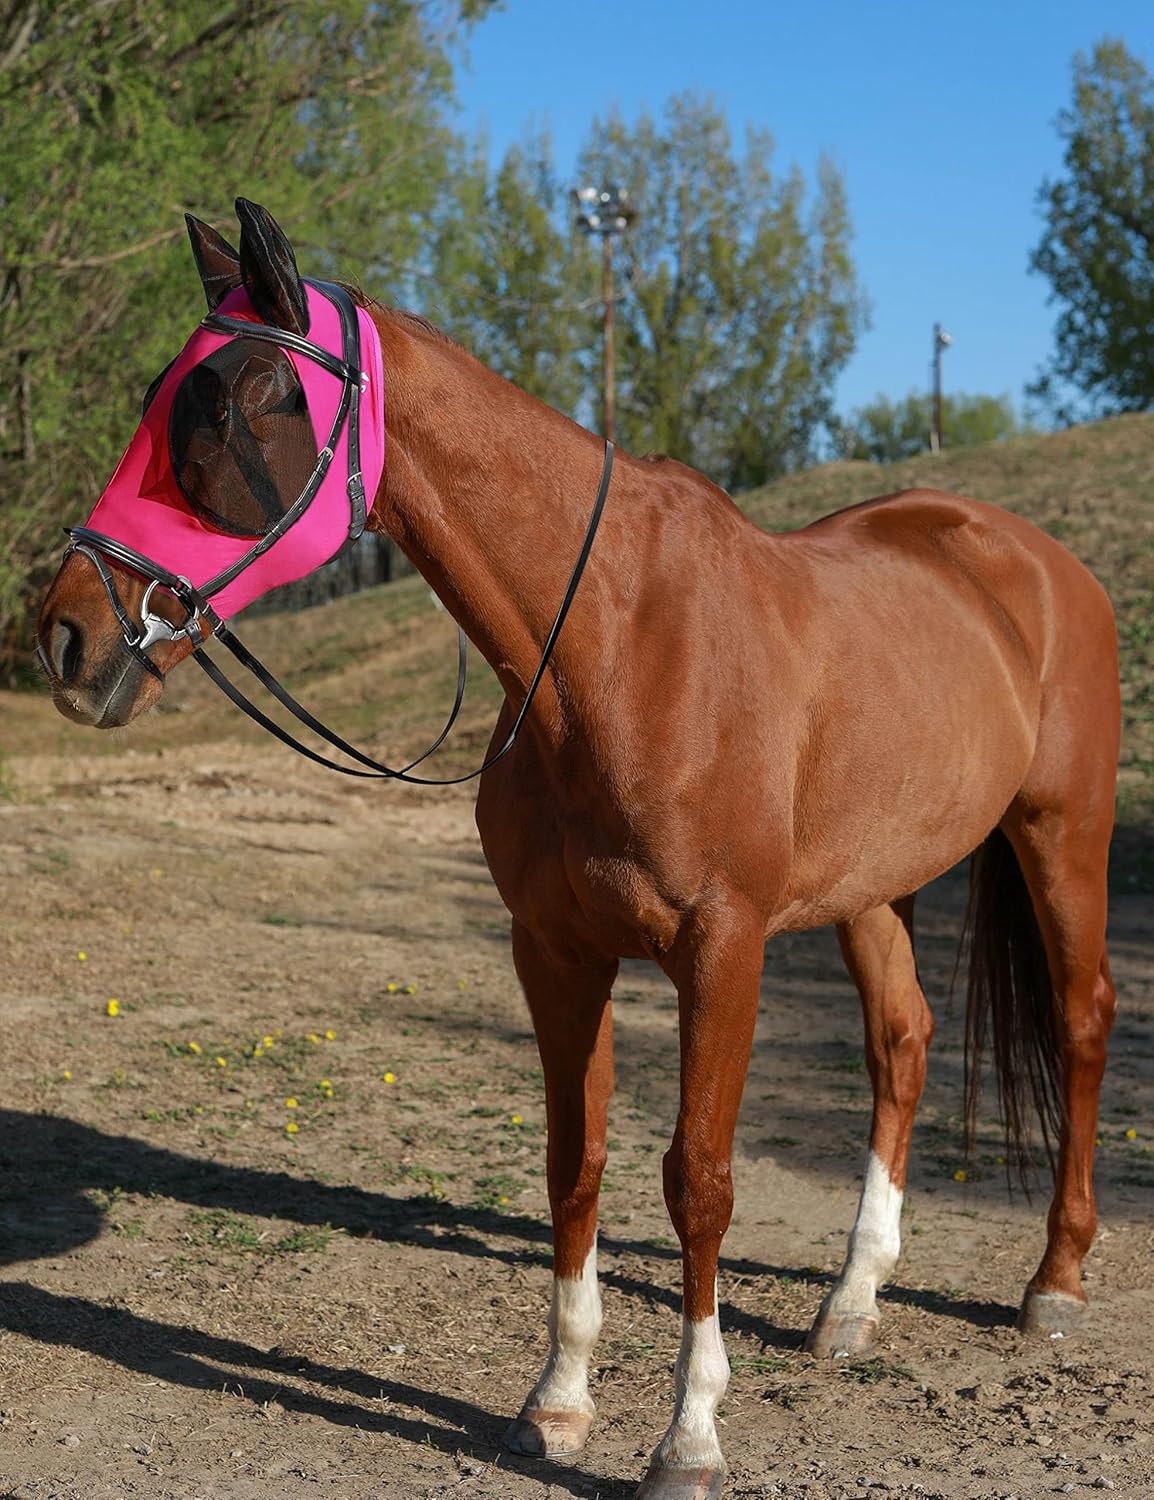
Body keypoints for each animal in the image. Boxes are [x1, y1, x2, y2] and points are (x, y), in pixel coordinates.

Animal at [36, 201, 1120, 1500]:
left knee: (1080, 1023)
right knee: (899, 1046)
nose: (66, 633)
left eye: (238, 402)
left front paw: (687, 1439)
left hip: (1060, 839)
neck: (612, 642)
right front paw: (554, 1406)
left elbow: (697, 1181)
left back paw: (1052, 1285)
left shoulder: (722, 950)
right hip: (875, 887)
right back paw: (851, 1302)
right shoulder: (554, 952)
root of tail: (1027, 560)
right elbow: (575, 1163)